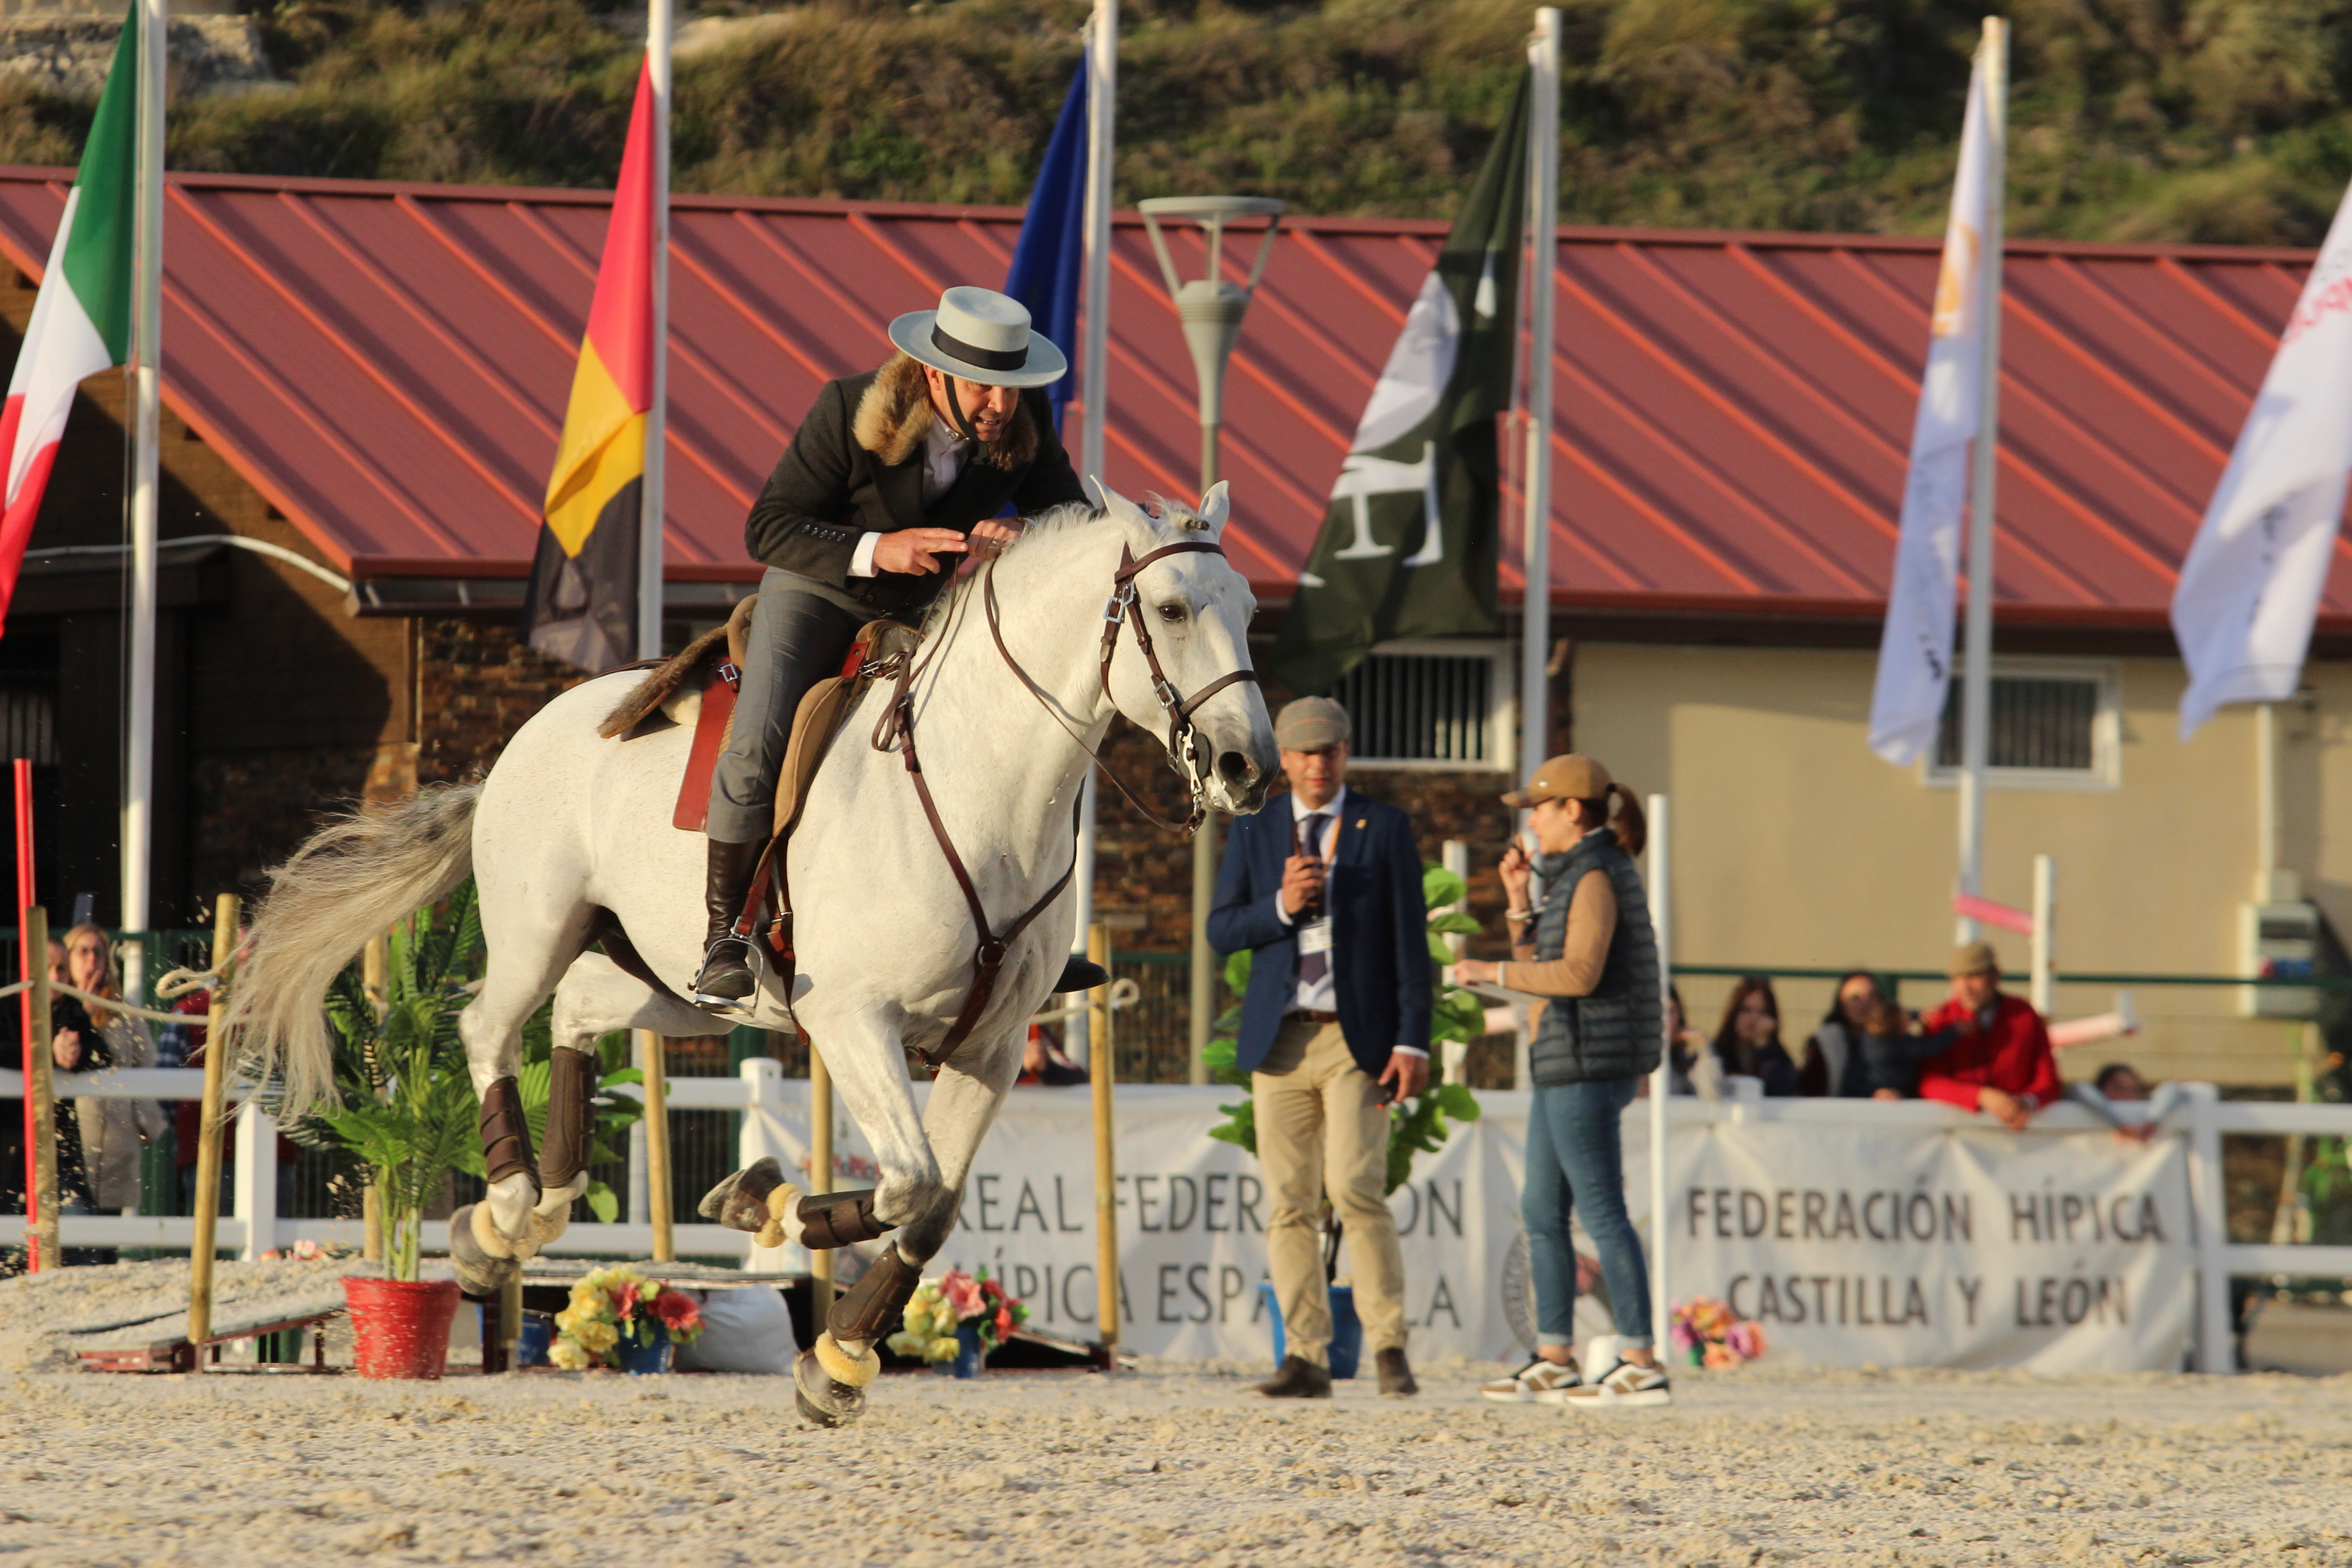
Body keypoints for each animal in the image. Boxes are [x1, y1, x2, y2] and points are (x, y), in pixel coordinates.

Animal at [229, 484, 1279, 1429]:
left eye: (1250, 612)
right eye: (1172, 609)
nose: (1249, 769)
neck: (984, 787)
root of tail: (528, 738)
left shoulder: (990, 1044)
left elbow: (929, 1206)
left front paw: (836, 1359)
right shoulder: (853, 1021)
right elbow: (909, 1181)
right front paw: (773, 1213)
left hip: (670, 985)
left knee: (576, 1015)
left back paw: (544, 1202)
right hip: (538, 930)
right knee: (488, 1024)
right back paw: (504, 1214)